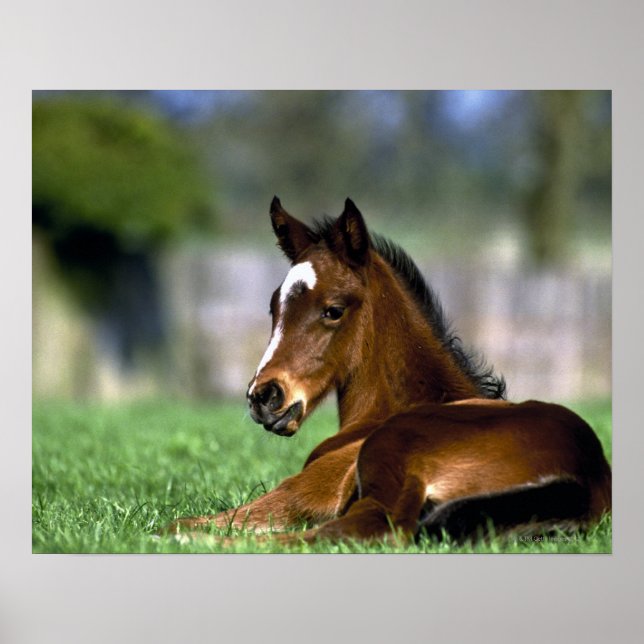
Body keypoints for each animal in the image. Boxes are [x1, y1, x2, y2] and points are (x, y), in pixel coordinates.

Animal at [166, 197, 612, 545]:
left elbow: (183, 520)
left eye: (333, 310)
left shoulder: (306, 491)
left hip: (387, 461)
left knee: (360, 531)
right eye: (274, 306)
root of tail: (585, 475)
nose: (264, 396)